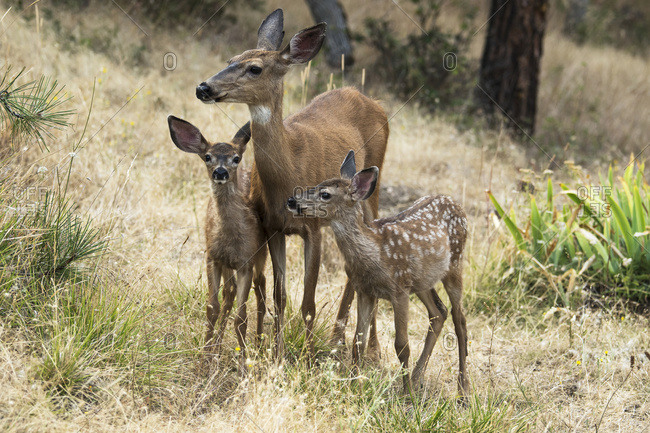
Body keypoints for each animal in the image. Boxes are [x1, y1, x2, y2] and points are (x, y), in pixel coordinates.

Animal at [168, 115, 267, 373]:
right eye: (207, 157)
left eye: (235, 158)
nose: (220, 172)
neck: (230, 240)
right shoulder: (212, 257)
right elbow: (212, 308)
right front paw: (205, 358)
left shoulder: (246, 262)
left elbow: (241, 318)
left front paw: (244, 364)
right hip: (226, 265)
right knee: (229, 295)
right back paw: (218, 350)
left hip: (262, 254)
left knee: (261, 290)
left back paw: (260, 344)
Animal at [195, 9, 389, 359]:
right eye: (231, 58)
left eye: (254, 68)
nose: (203, 87)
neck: (288, 172)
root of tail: (372, 100)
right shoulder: (273, 228)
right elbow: (280, 296)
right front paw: (277, 353)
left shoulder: (313, 228)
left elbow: (308, 303)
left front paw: (307, 359)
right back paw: (340, 340)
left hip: (372, 192)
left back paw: (366, 348)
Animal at [287, 151, 469, 395]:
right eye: (317, 184)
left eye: (325, 194)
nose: (292, 200)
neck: (375, 254)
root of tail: (455, 203)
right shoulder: (365, 290)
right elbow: (358, 341)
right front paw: (354, 386)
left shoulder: (399, 289)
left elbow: (401, 345)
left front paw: (406, 395)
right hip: (422, 280)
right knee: (439, 312)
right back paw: (417, 377)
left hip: (455, 264)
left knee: (460, 321)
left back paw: (462, 389)